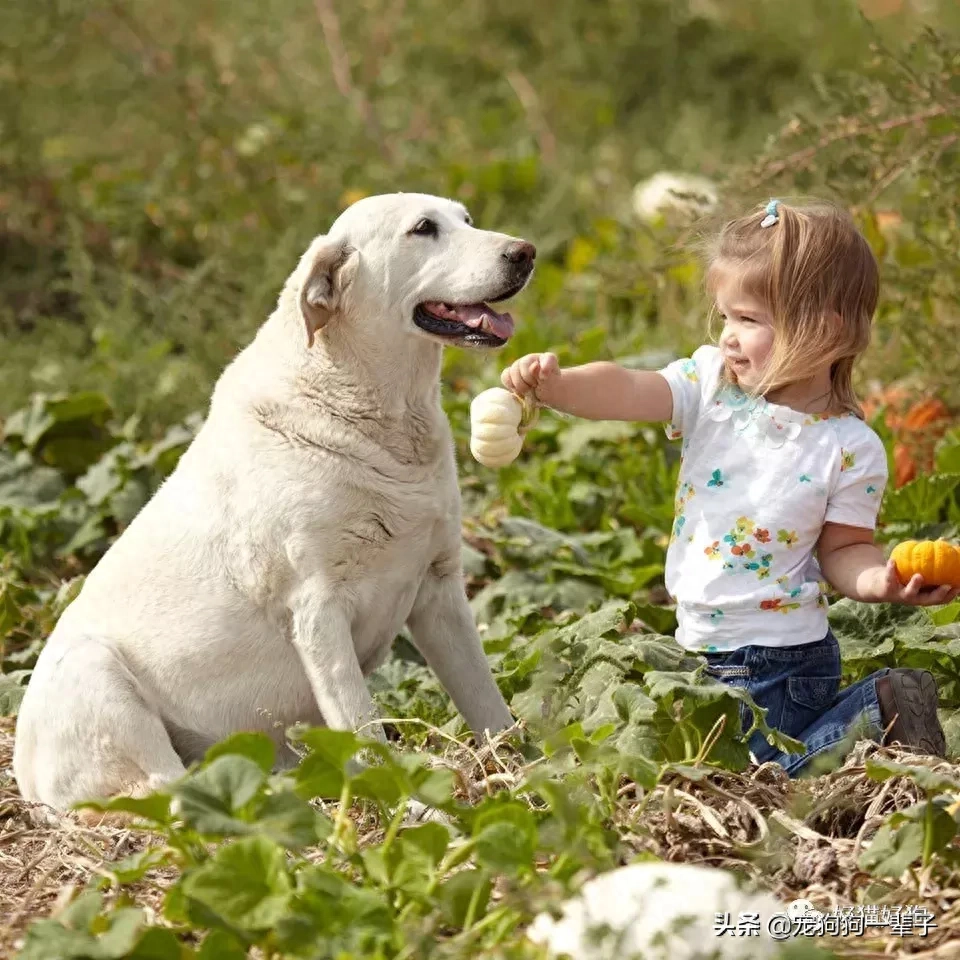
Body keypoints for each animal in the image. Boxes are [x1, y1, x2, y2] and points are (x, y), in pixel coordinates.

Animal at [11, 193, 532, 808]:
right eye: (423, 229)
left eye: (467, 220)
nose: (524, 252)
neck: (381, 416)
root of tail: (22, 778)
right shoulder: (318, 611)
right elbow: (364, 729)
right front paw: (413, 807)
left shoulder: (441, 590)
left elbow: (488, 702)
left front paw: (533, 773)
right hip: (98, 676)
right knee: (169, 793)